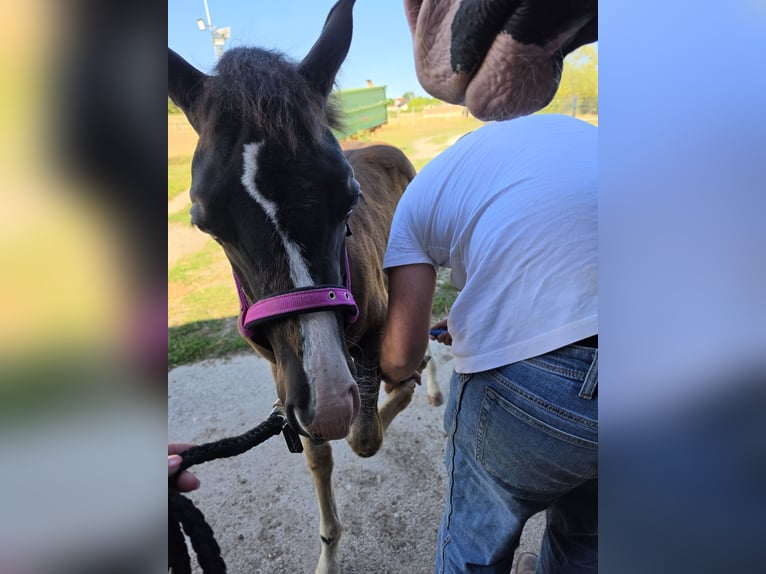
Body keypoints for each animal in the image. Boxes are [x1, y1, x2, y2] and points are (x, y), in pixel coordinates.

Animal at [168, 0, 423, 571]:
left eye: (350, 195)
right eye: (204, 221)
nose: (329, 401)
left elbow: (366, 436)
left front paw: (395, 394)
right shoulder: (285, 373)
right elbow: (318, 449)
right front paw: (328, 552)